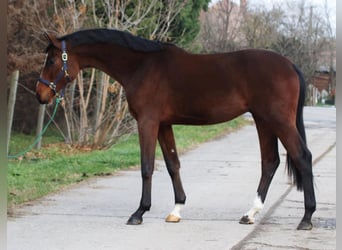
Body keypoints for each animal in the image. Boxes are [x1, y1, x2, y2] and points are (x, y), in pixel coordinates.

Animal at [35, 28, 316, 229]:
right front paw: (176, 210)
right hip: (263, 120)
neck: (141, 66)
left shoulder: (147, 122)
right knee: (269, 162)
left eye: (52, 60)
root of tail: (291, 66)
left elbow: (147, 166)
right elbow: (172, 165)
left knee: (302, 157)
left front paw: (139, 213)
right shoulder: (164, 124)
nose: (40, 95)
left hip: (277, 120)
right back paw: (250, 214)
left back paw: (306, 218)